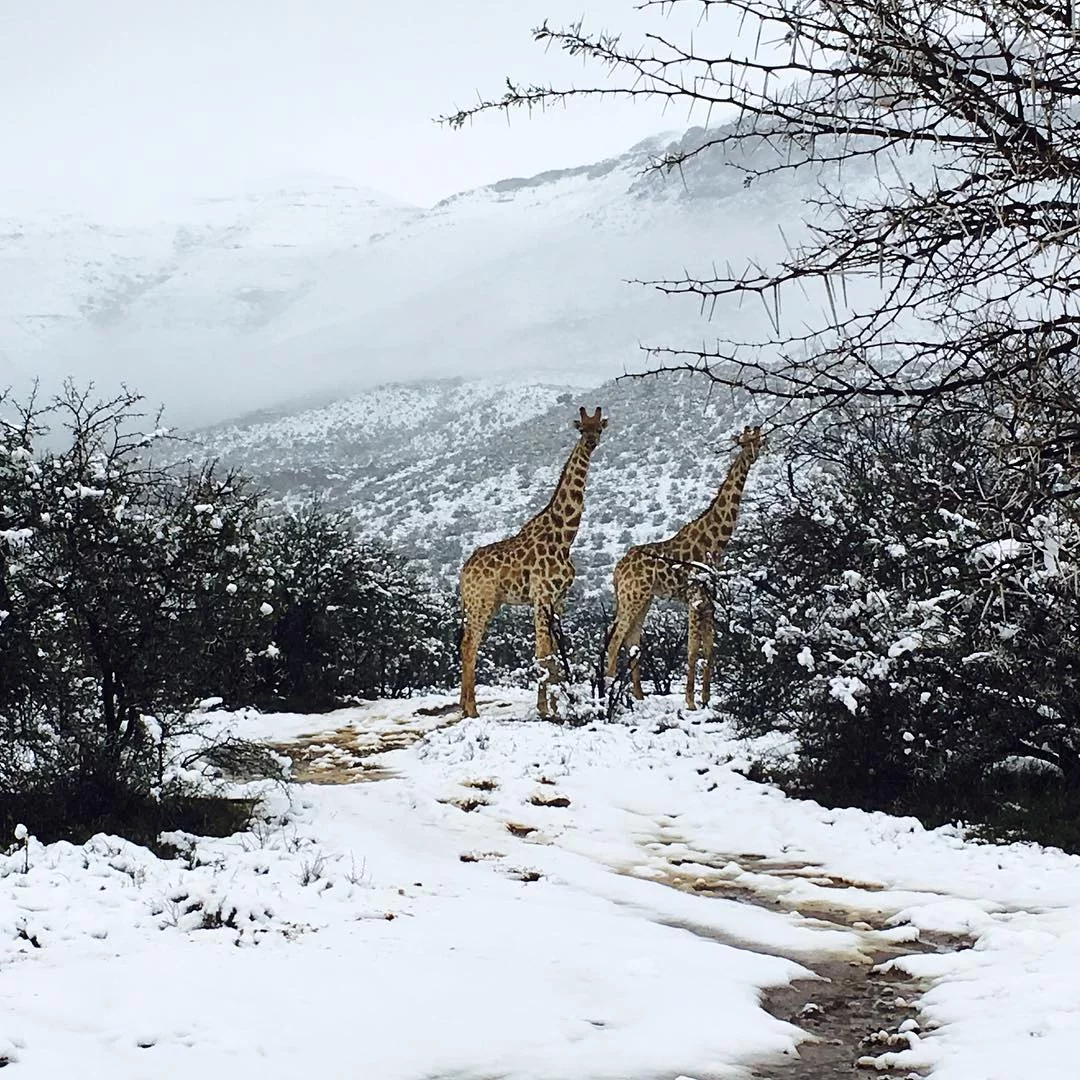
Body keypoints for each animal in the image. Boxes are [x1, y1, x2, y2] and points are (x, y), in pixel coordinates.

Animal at [455, 406, 609, 717]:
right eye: (581, 428)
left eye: (599, 428)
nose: (590, 443)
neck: (565, 537)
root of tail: (464, 572)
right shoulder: (542, 596)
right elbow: (543, 654)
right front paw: (545, 709)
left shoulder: (559, 600)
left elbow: (554, 654)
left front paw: (557, 707)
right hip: (481, 602)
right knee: (469, 645)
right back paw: (471, 709)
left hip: (488, 604)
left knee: (467, 644)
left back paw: (464, 706)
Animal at [604, 425, 764, 712]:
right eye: (744, 441)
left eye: (759, 439)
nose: (753, 455)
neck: (716, 541)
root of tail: (617, 570)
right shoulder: (695, 597)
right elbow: (691, 649)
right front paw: (690, 701)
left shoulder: (710, 599)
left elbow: (710, 649)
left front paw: (706, 699)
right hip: (632, 597)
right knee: (615, 641)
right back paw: (610, 694)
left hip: (643, 598)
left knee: (632, 640)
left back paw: (639, 696)